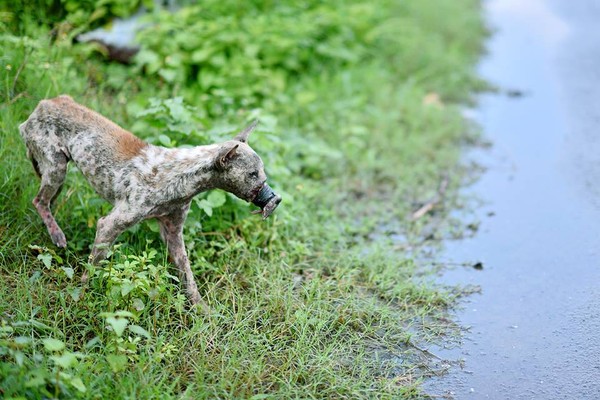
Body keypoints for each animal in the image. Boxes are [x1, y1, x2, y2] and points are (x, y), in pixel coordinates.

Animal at [19, 95, 282, 304]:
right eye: (253, 174)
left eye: (262, 172)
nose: (275, 199)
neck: (181, 177)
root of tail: (45, 103)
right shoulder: (110, 225)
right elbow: (92, 268)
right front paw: (81, 298)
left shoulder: (173, 233)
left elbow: (188, 277)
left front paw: (203, 312)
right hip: (56, 168)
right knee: (39, 201)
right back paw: (57, 235)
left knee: (45, 201)